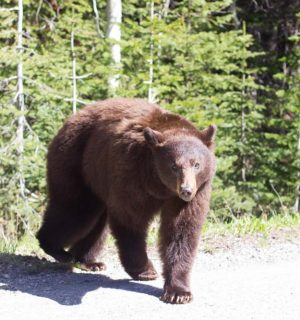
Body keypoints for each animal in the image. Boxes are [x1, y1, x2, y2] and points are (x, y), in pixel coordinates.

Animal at [37, 97, 216, 302]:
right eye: (174, 166)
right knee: (75, 210)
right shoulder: (131, 173)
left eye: (196, 164)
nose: (186, 190)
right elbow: (130, 220)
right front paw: (145, 270)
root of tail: (70, 120)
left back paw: (88, 261)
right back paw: (57, 250)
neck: (160, 185)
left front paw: (178, 292)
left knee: (96, 221)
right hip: (76, 161)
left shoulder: (192, 194)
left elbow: (181, 230)